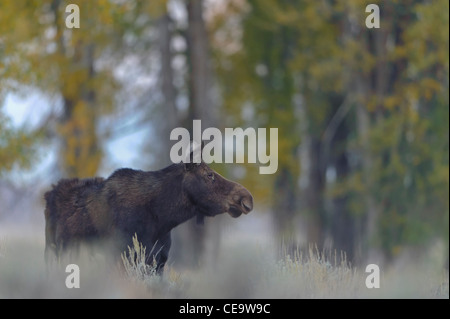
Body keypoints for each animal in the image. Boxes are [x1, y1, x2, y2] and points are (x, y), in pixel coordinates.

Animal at [43, 146, 253, 274]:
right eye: (209, 175)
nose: (247, 198)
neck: (162, 218)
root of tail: (49, 192)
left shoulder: (159, 261)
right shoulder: (121, 256)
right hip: (54, 251)